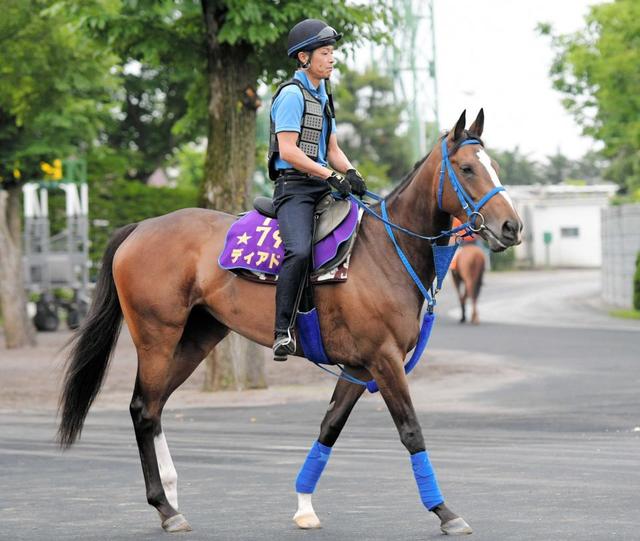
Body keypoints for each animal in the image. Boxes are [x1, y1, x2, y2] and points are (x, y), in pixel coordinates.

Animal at [57, 109, 522, 536]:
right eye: (467, 168)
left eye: (495, 165)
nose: (512, 226)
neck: (385, 250)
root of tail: (141, 228)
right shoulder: (384, 360)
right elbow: (411, 431)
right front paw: (444, 511)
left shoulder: (358, 368)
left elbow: (329, 428)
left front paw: (304, 505)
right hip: (157, 337)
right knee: (142, 408)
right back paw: (164, 506)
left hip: (197, 339)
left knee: (154, 408)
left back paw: (170, 495)